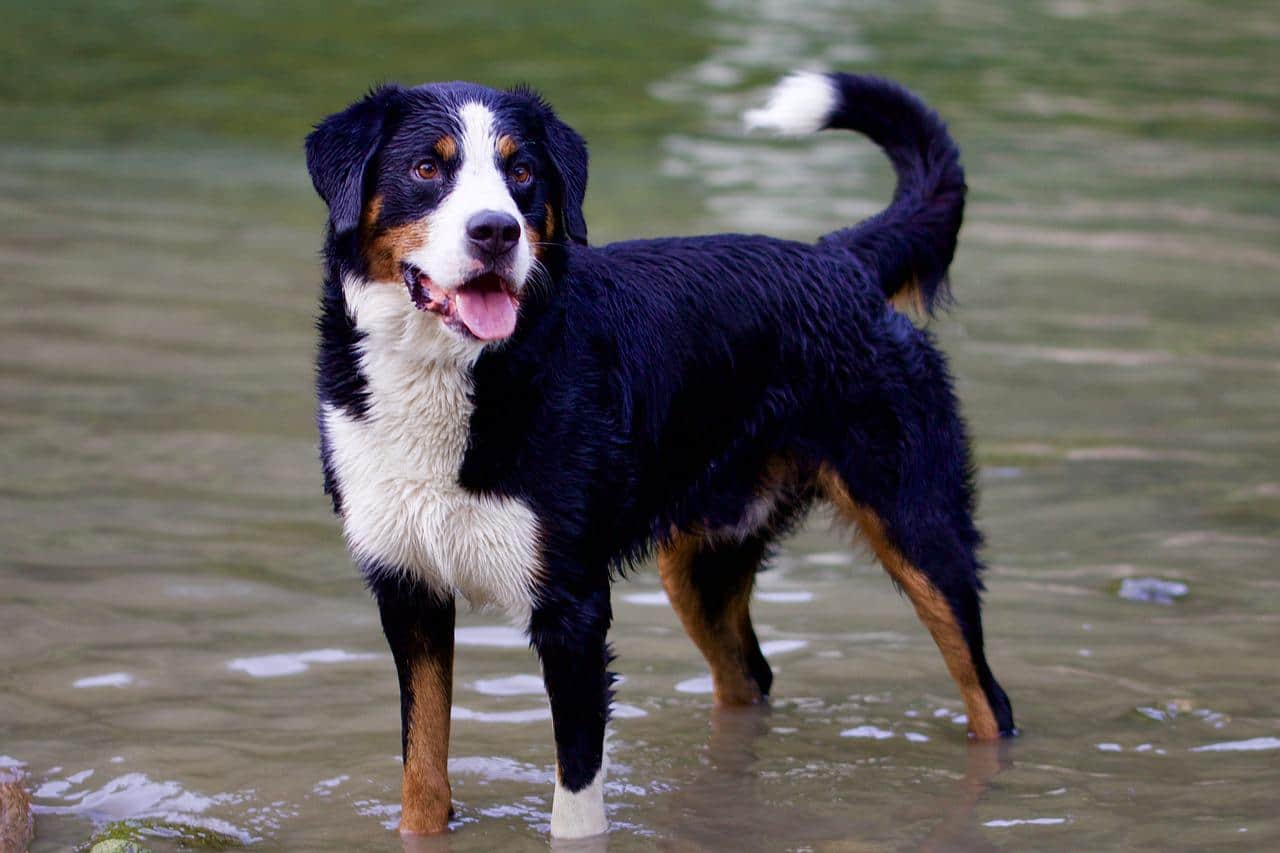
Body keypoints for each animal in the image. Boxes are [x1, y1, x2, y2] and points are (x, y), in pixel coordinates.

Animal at [304, 71, 1013, 835]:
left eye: (521, 172)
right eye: (426, 169)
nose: (496, 231)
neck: (453, 377)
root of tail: (838, 258)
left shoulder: (573, 609)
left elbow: (575, 802)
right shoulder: (409, 591)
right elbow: (423, 776)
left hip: (919, 529)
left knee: (987, 696)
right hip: (702, 563)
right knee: (749, 677)